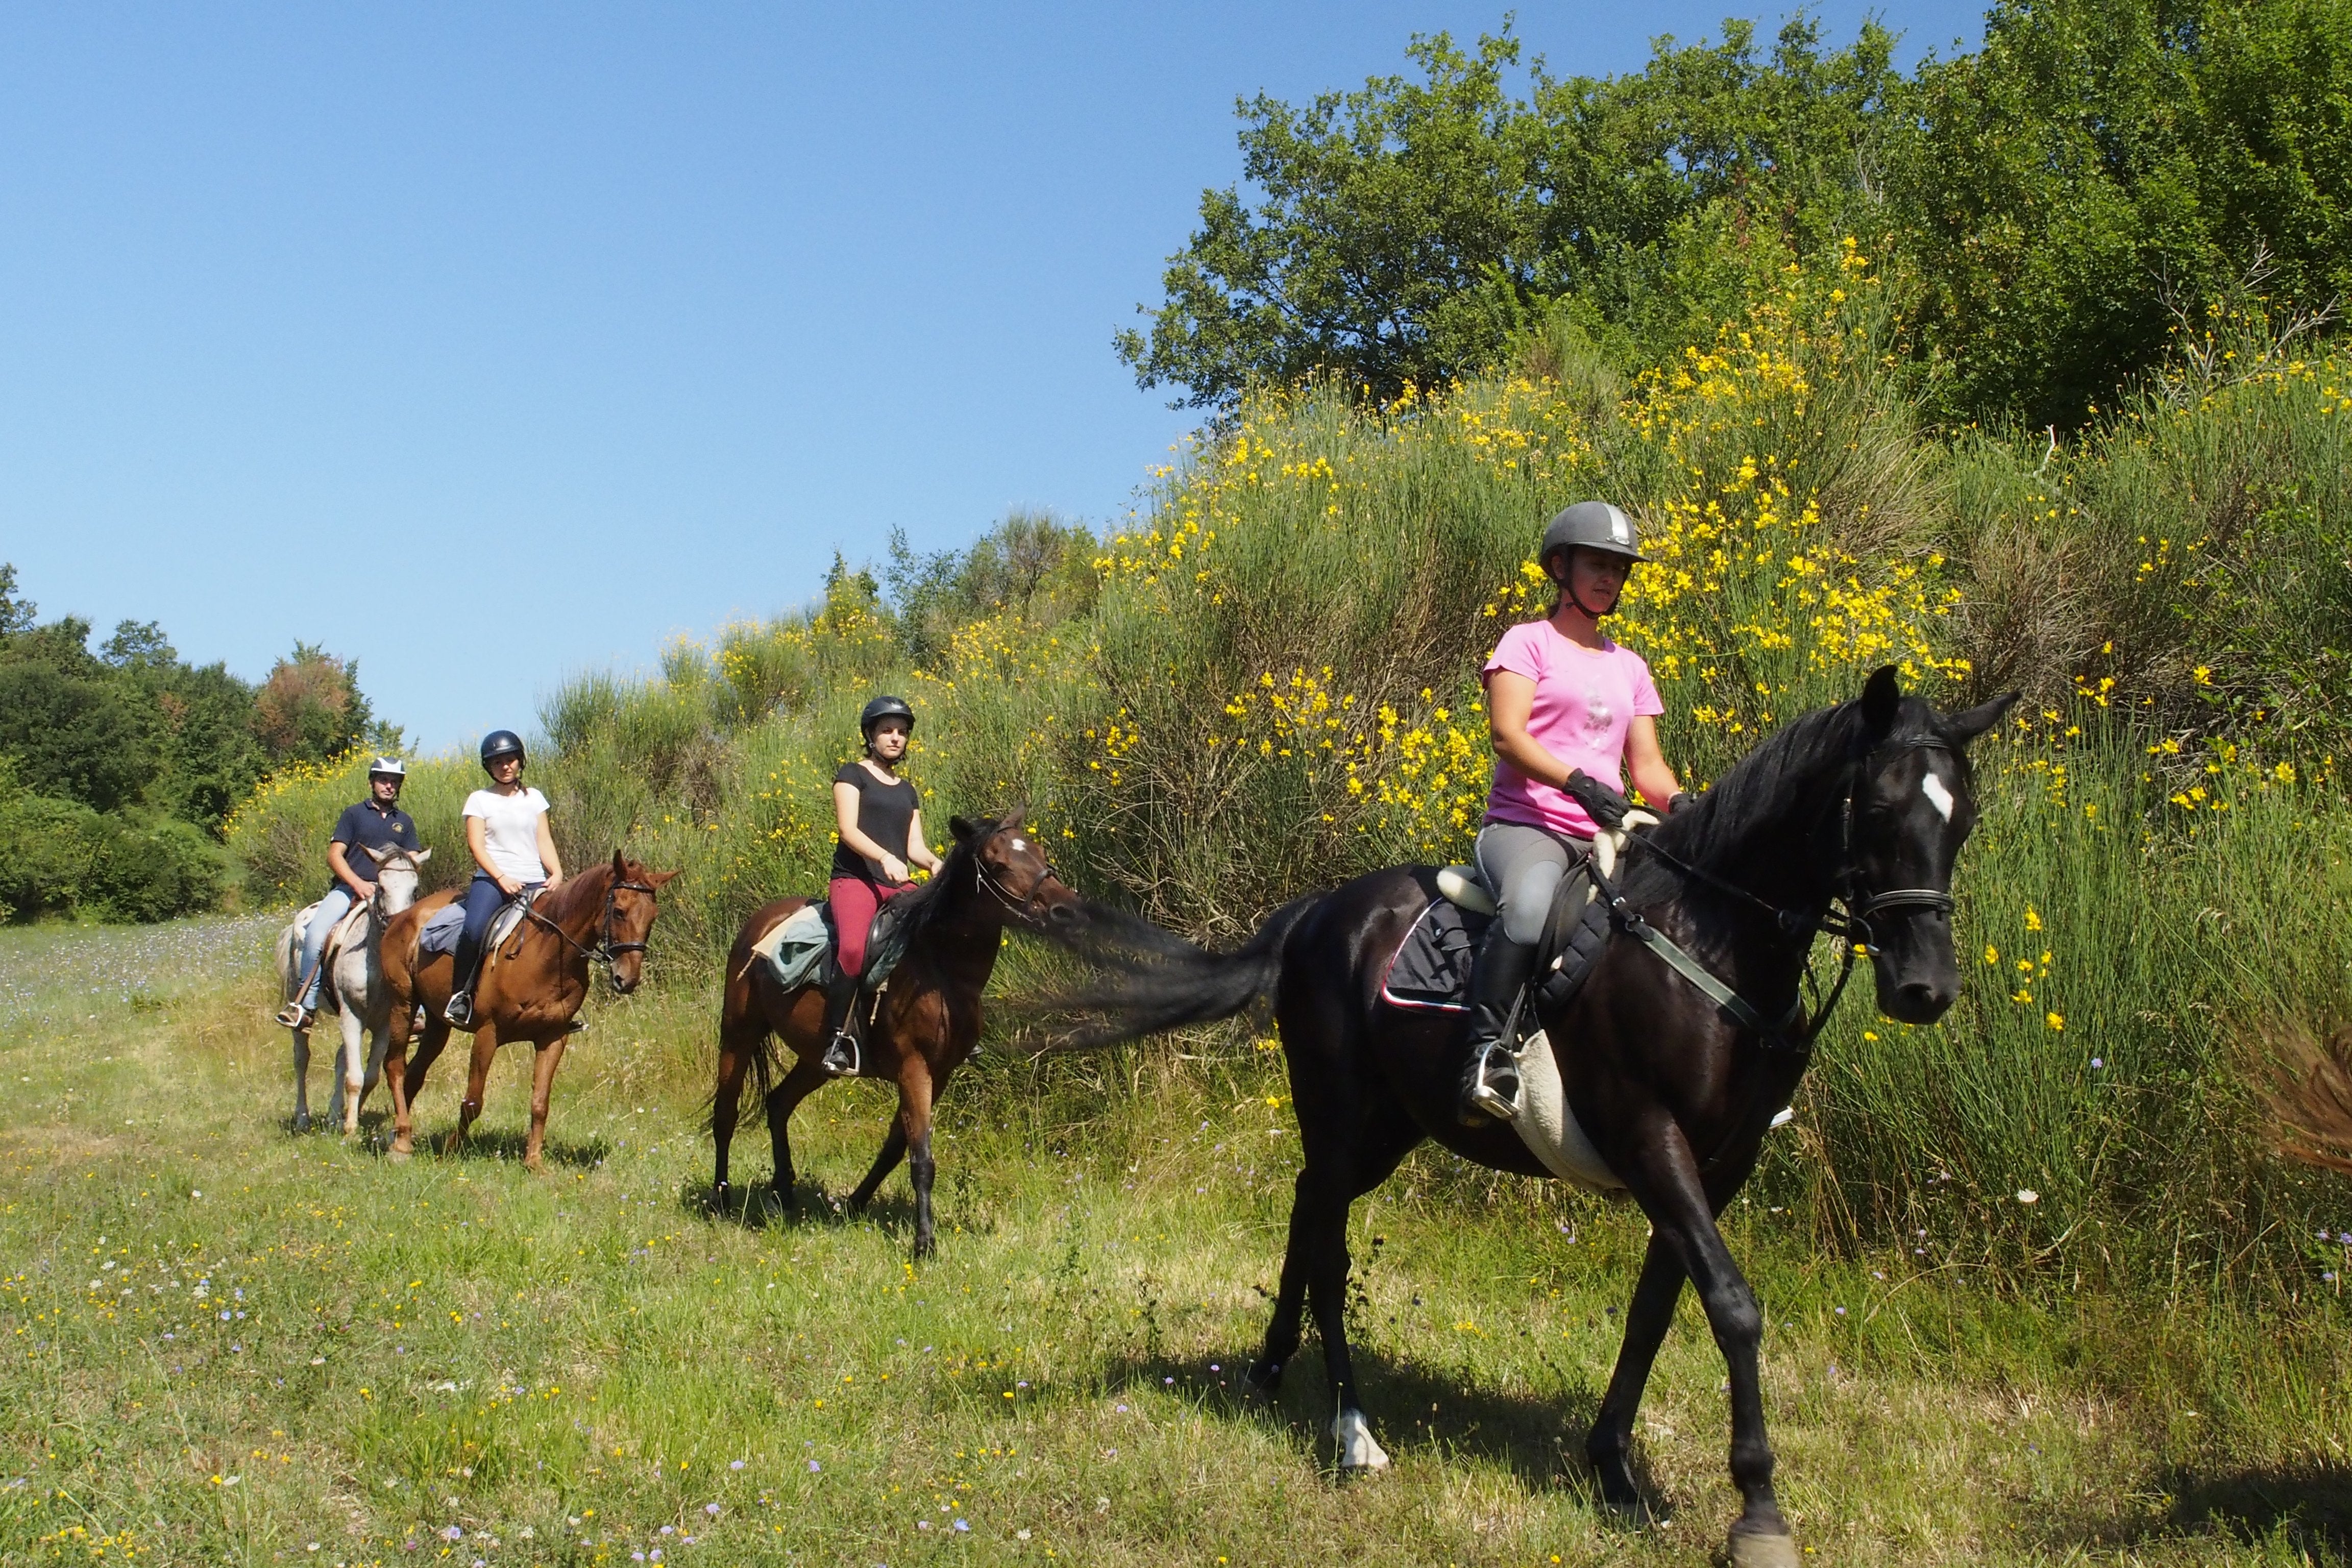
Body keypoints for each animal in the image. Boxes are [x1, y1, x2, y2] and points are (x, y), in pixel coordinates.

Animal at [376, 851, 672, 1170]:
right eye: (618, 911)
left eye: (653, 916)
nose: (626, 980)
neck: (546, 955)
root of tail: (404, 916)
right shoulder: (488, 1034)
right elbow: (473, 1102)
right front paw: (451, 1150)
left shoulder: (553, 1037)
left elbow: (540, 1103)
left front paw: (534, 1163)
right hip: (403, 1005)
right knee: (394, 1066)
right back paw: (401, 1144)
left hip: (437, 1023)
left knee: (414, 1074)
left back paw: (398, 1136)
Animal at [710, 818, 1077, 1260]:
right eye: (998, 864)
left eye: (1039, 853)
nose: (1064, 908)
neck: (939, 968)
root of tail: (761, 921)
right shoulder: (913, 1068)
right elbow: (921, 1158)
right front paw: (924, 1243)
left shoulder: (939, 1074)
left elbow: (896, 1148)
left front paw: (854, 1204)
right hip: (738, 1034)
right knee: (726, 1115)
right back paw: (721, 1200)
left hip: (816, 1059)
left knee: (778, 1104)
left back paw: (784, 1193)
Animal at [1039, 668, 2013, 1561]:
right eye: (1878, 808)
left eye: (1961, 818)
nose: (1925, 988)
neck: (1708, 941)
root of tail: (1319, 912)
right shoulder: (1649, 1138)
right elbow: (1732, 1306)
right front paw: (1759, 1511)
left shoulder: (1718, 1164)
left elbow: (1656, 1308)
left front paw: (1614, 1470)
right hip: (1343, 1111)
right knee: (1329, 1249)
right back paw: (1352, 1430)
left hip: (1386, 1126)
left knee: (1308, 1205)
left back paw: (1274, 1368)